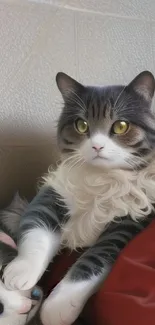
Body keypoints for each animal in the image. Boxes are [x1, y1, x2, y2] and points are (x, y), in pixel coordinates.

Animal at [2, 71, 155, 324]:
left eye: (121, 126)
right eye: (82, 125)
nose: (97, 146)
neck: (101, 178)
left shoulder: (128, 221)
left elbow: (95, 258)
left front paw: (58, 308)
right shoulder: (54, 192)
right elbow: (37, 230)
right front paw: (20, 272)